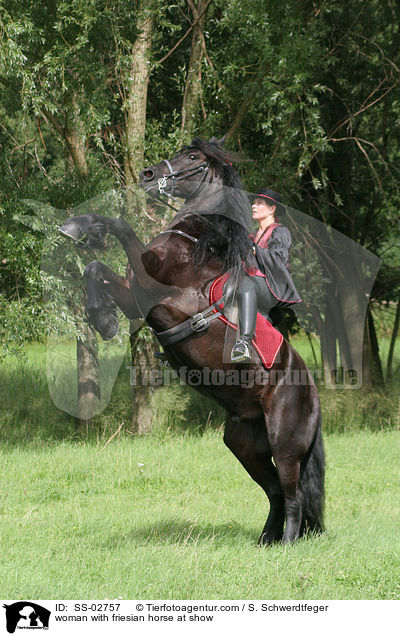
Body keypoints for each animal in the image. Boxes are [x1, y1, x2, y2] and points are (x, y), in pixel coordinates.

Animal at [59, 137, 324, 544]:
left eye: (194, 157)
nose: (148, 174)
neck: (193, 243)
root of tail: (313, 394)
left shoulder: (153, 289)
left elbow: (120, 226)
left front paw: (82, 227)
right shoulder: (136, 297)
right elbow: (94, 269)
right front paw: (103, 319)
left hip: (285, 442)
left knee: (292, 493)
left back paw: (288, 543)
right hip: (243, 442)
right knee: (275, 491)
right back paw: (265, 541)